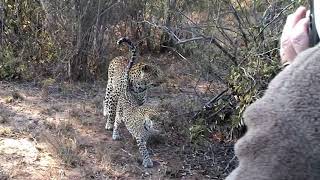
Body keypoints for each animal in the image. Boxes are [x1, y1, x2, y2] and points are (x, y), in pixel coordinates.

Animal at [108, 37, 165, 168]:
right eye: (155, 73)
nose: (163, 81)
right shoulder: (140, 137)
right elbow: (144, 150)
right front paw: (147, 162)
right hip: (112, 91)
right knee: (111, 112)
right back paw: (113, 130)